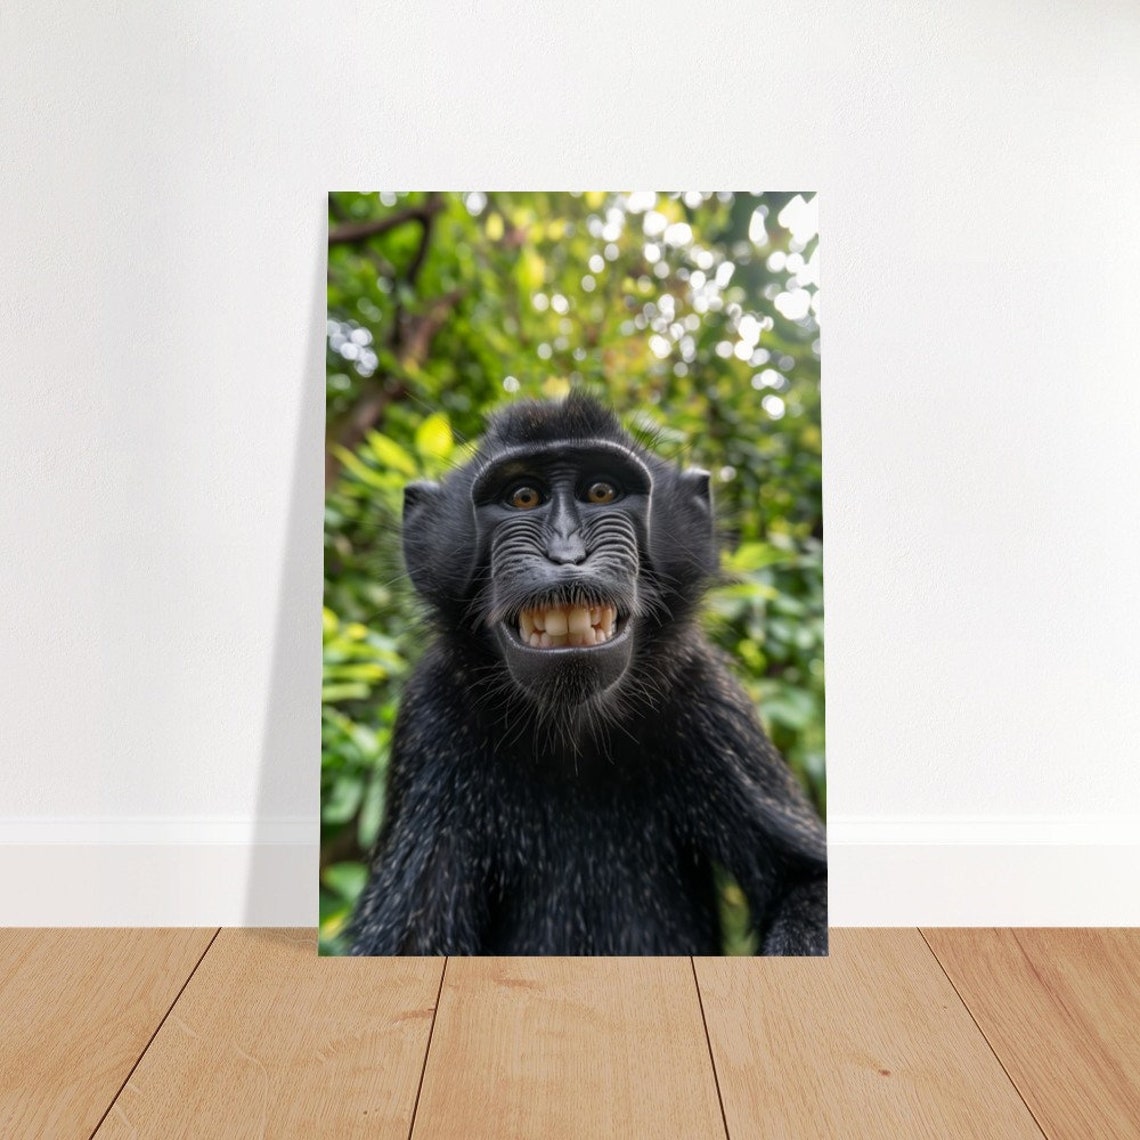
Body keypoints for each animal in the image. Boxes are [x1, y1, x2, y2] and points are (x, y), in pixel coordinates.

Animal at [349, 391, 826, 956]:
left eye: (601, 491)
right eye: (523, 497)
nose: (566, 553)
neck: (570, 731)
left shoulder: (708, 698)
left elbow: (807, 882)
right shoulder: (430, 719)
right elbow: (407, 940)